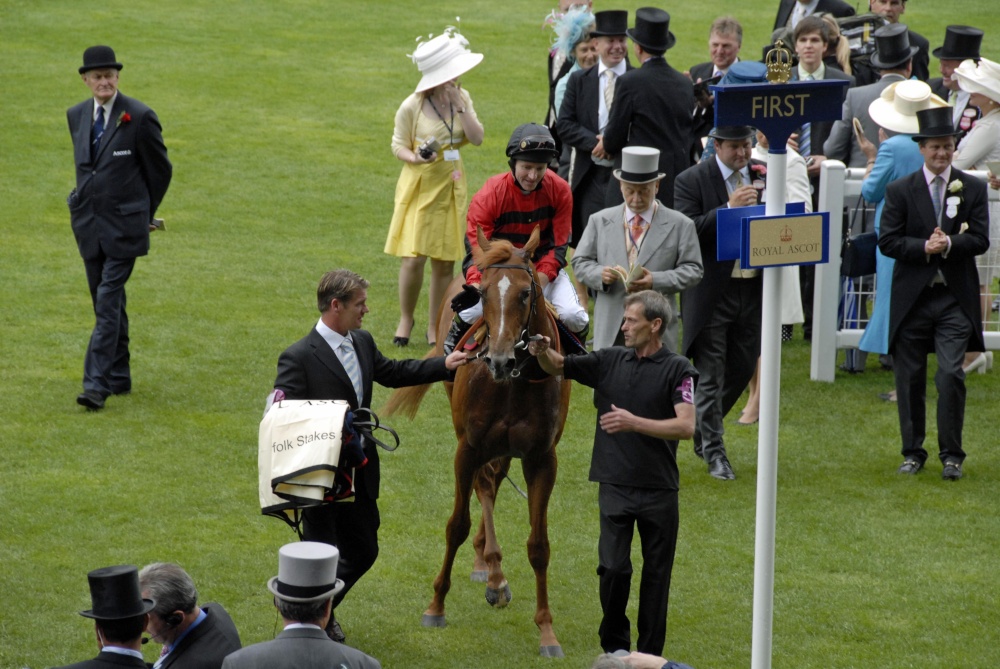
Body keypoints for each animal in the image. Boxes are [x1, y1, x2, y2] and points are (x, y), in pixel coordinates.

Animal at [382, 227, 572, 656]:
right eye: (483, 293)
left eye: (525, 293)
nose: (499, 359)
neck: (513, 382)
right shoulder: (467, 448)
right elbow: (457, 524)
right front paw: (436, 606)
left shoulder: (541, 458)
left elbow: (539, 545)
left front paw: (547, 631)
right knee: (484, 487)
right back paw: (492, 571)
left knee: (493, 483)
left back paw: (492, 569)